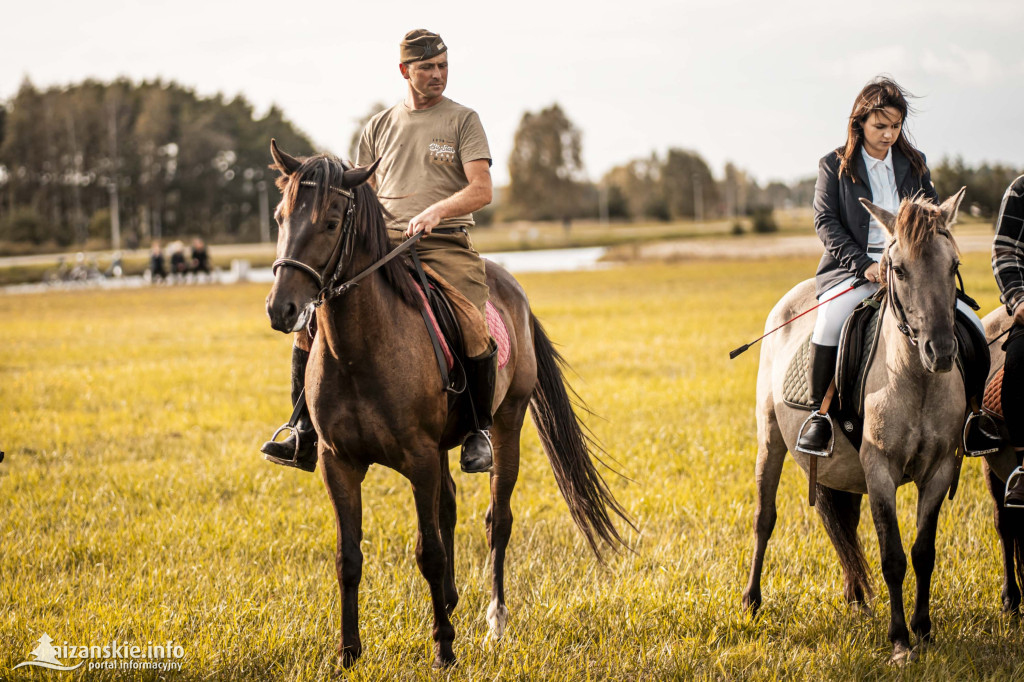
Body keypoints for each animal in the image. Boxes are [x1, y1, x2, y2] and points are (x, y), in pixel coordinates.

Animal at [262, 140, 630, 667]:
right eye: (279, 217)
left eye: (331, 222)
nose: (281, 309)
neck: (360, 351)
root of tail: (510, 285)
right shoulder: (339, 463)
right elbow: (348, 557)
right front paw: (348, 652)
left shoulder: (418, 459)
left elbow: (428, 552)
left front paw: (443, 649)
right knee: (451, 506)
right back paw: (452, 603)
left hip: (507, 423)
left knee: (497, 520)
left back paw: (494, 620)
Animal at [745, 189, 966, 659]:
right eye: (897, 269)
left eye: (954, 265)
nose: (940, 351)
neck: (915, 379)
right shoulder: (880, 469)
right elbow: (893, 557)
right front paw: (899, 641)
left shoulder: (939, 470)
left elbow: (923, 552)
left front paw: (923, 629)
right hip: (770, 439)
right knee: (764, 517)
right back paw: (751, 600)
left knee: (844, 526)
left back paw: (857, 599)